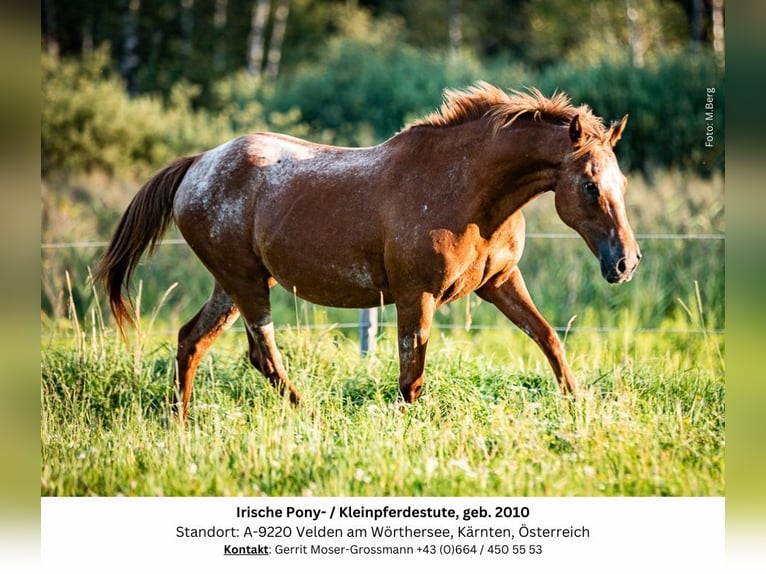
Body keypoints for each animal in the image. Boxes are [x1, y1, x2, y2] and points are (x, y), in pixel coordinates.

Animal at [94, 82, 640, 424]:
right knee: (262, 354)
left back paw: (180, 424)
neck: (469, 190)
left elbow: (549, 339)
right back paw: (311, 415)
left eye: (621, 182)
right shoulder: (415, 295)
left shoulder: (500, 283)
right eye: (590, 186)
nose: (625, 262)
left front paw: (578, 407)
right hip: (246, 284)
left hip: (233, 285)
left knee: (192, 340)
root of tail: (197, 165)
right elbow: (411, 375)